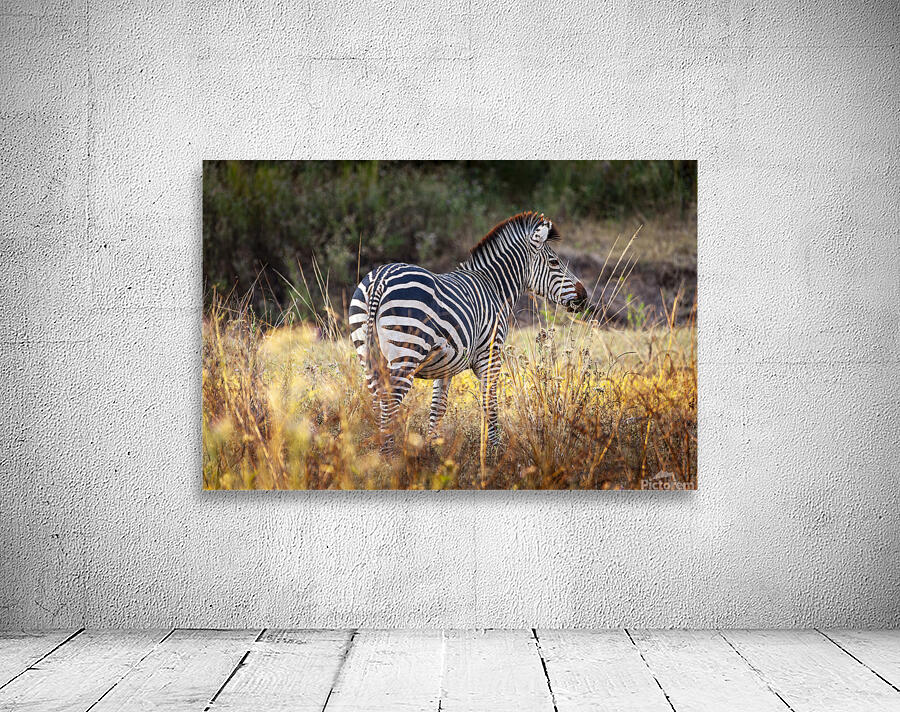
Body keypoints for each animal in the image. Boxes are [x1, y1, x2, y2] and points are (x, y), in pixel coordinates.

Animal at [349, 211, 588, 451]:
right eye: (554, 262)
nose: (584, 296)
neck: (495, 288)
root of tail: (381, 278)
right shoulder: (490, 355)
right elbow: (490, 403)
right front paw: (494, 450)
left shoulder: (445, 367)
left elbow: (438, 407)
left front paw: (431, 449)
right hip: (407, 351)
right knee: (389, 402)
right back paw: (389, 456)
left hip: (367, 352)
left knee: (378, 401)